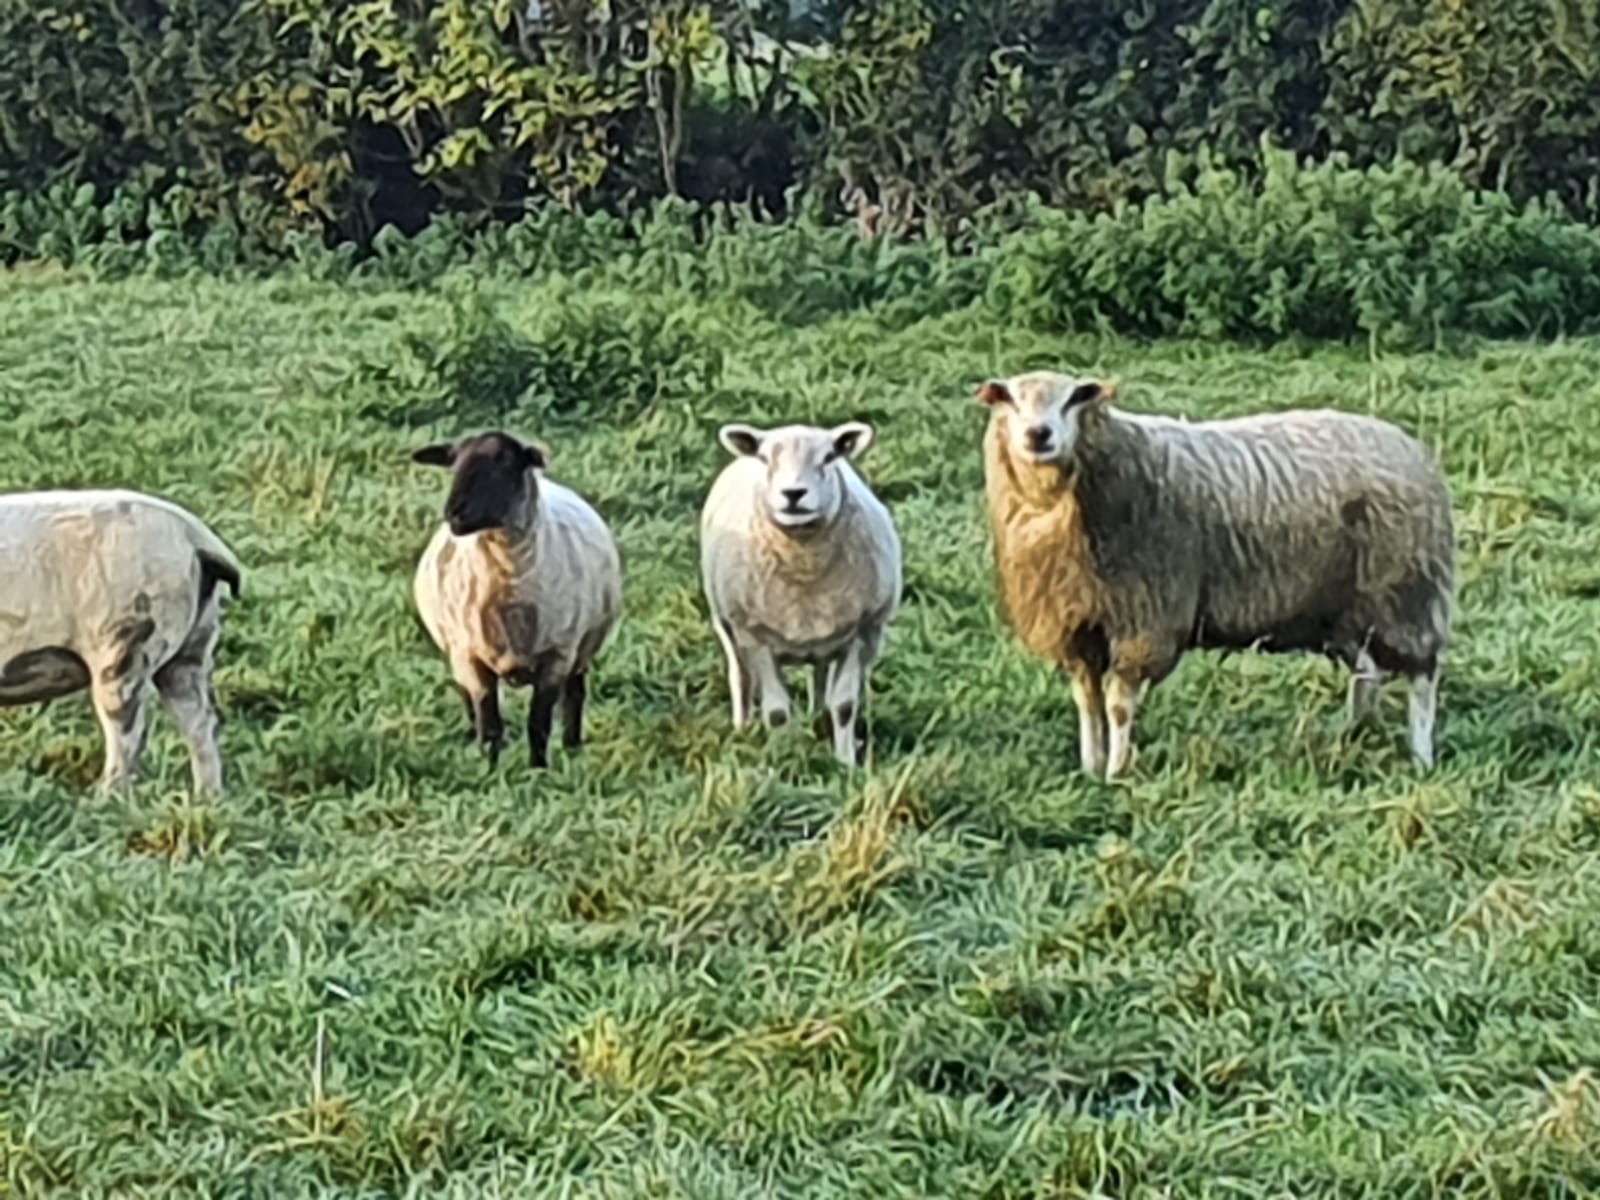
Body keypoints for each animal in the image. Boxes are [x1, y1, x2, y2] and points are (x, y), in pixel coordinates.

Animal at [0, 489, 243, 800]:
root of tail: (194, 536)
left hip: (126, 642)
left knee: (128, 735)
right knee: (201, 724)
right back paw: (208, 798)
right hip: (194, 643)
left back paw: (102, 800)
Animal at [409, 432, 620, 771]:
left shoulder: (556, 657)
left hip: (582, 647)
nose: (453, 513)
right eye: (454, 464)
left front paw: (538, 769)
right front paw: (490, 769)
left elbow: (539, 723)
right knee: (471, 703)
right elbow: (490, 724)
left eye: (505, 464)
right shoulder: (471, 656)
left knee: (575, 695)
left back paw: (573, 746)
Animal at [700, 419, 902, 764]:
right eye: (766, 459)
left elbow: (844, 706)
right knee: (740, 674)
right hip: (726, 622)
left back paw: (819, 721)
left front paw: (845, 761)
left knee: (821, 677)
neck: (805, 566)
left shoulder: (860, 633)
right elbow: (778, 713)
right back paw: (743, 726)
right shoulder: (757, 637)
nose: (793, 493)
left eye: (829, 457)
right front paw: (784, 756)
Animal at [979, 369, 1459, 780]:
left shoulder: (1144, 621)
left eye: (1073, 400)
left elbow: (1117, 707)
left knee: (1423, 676)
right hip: (1343, 609)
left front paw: (1116, 773)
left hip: (1406, 593)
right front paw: (1090, 768)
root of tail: (1411, 448)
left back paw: (1421, 756)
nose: (1038, 435)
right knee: (1367, 671)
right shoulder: (1075, 627)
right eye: (1012, 401)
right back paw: (1353, 734)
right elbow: (1087, 703)